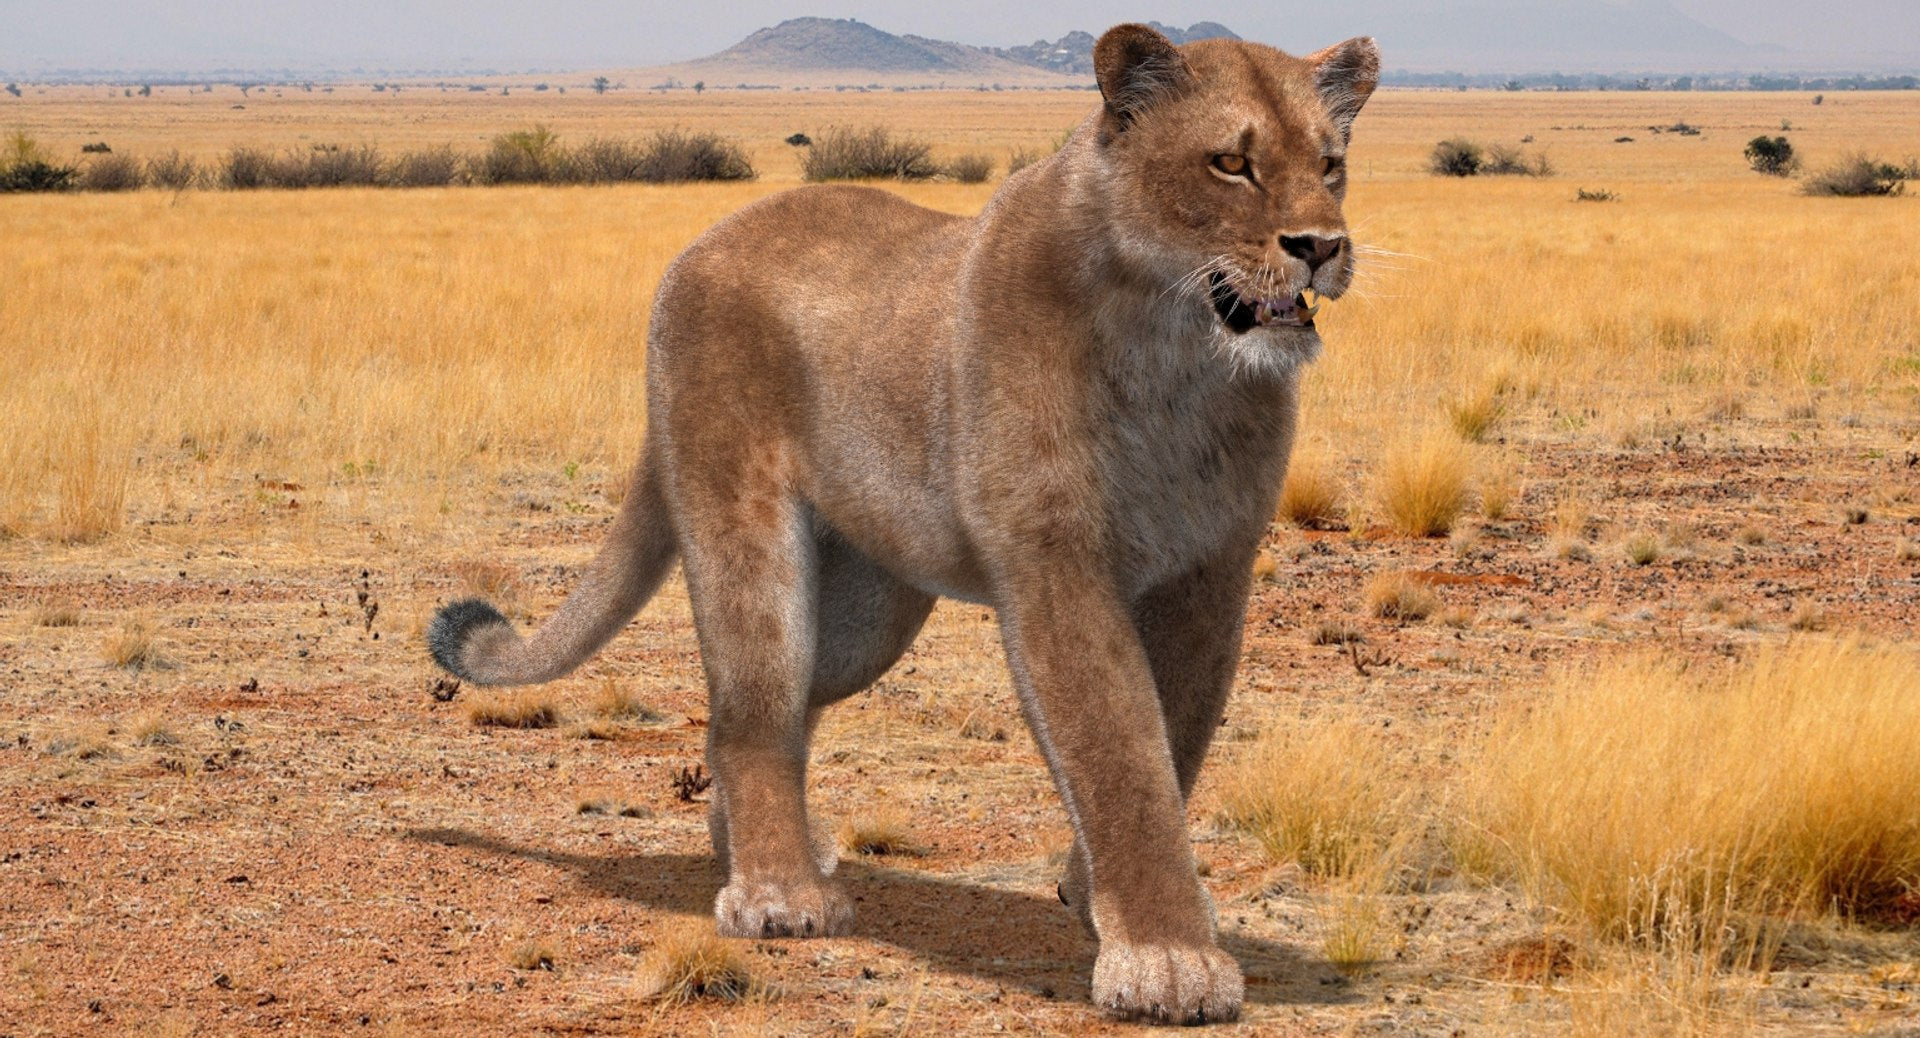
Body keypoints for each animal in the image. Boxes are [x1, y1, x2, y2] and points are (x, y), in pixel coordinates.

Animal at [429, 24, 1378, 1023]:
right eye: (1231, 163)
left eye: (1330, 163)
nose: (1323, 246)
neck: (1179, 360)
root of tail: (698, 245)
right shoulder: (1057, 564)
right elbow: (1122, 755)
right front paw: (1168, 959)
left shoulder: (1211, 571)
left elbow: (1179, 740)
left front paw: (1094, 902)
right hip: (748, 538)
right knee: (751, 707)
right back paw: (779, 893)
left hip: (868, 612)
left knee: (768, 709)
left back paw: (758, 853)